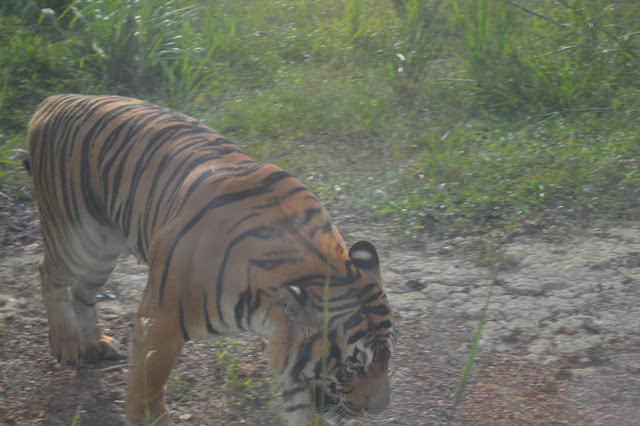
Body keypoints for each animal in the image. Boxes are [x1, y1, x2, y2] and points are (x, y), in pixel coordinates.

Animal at [26, 95, 396, 424]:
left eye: (386, 358)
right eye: (353, 366)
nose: (377, 411)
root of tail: (54, 100)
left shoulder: (295, 361)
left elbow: (302, 406)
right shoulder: (160, 319)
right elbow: (149, 379)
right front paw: (147, 417)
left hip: (104, 250)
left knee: (83, 291)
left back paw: (94, 344)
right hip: (76, 236)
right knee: (48, 273)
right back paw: (66, 343)